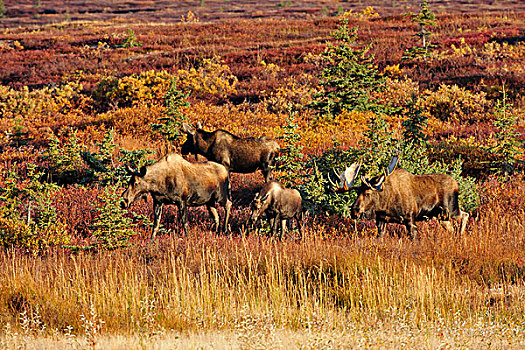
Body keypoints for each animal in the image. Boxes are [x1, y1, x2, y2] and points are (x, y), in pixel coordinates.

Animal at [330, 158, 468, 238]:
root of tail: (457, 185)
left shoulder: (410, 218)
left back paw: (461, 236)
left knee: (465, 215)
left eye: (368, 193)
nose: (354, 211)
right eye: (357, 192)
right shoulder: (381, 220)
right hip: (441, 216)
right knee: (451, 228)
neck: (384, 205)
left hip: (451, 209)